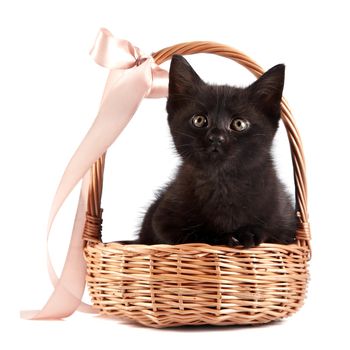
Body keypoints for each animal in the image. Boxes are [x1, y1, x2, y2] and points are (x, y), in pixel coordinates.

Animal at [136, 54, 296, 247]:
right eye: (199, 120)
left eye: (239, 124)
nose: (216, 137)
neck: (221, 182)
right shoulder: (161, 221)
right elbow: (194, 235)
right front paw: (225, 237)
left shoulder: (287, 224)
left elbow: (271, 232)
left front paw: (249, 234)